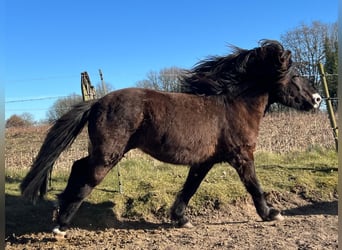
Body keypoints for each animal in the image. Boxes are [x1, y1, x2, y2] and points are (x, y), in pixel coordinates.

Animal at [20, 40, 320, 234]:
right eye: (294, 75)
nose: (317, 100)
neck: (233, 106)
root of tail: (97, 102)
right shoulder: (241, 156)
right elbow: (254, 186)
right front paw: (271, 214)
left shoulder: (205, 161)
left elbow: (190, 187)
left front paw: (180, 218)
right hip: (109, 154)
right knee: (85, 178)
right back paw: (61, 225)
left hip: (105, 151)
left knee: (77, 166)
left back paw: (59, 206)